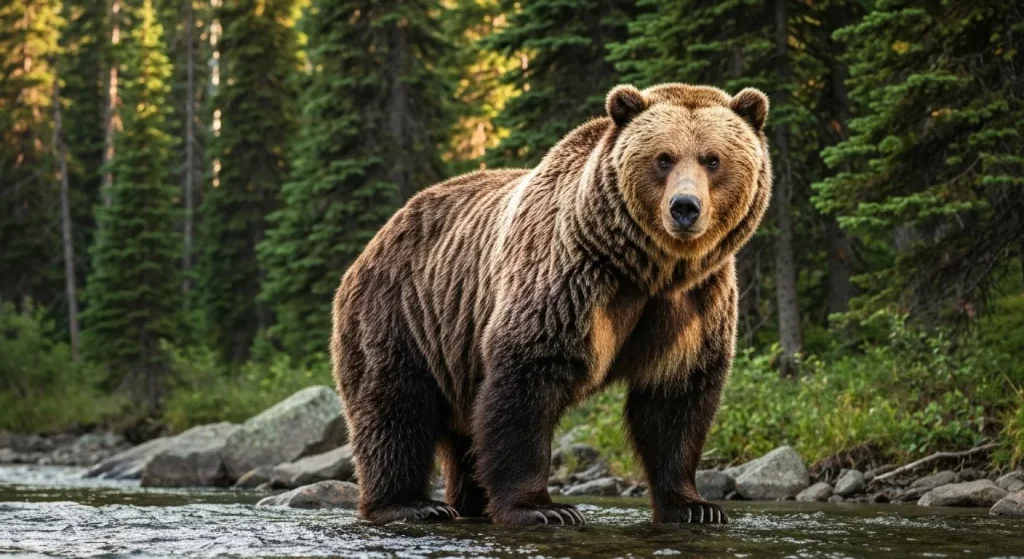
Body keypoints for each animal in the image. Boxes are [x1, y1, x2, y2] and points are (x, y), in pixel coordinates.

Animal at [331, 83, 772, 526]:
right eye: (663, 158)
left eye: (712, 159)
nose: (684, 207)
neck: (647, 269)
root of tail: (377, 239)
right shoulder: (569, 279)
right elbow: (527, 381)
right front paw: (542, 508)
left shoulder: (695, 303)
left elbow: (675, 400)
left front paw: (694, 506)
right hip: (404, 313)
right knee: (396, 409)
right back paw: (412, 504)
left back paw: (469, 503)